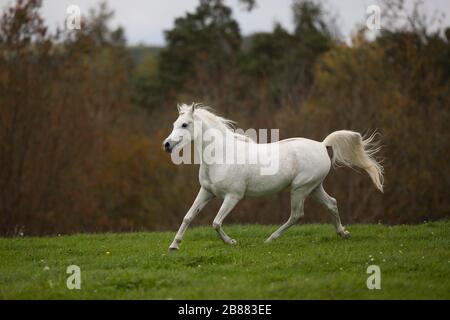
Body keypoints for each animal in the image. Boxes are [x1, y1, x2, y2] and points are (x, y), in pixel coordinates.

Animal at [163, 103, 384, 250]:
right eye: (174, 123)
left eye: (185, 125)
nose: (166, 145)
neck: (222, 155)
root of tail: (322, 145)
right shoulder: (207, 192)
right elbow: (188, 216)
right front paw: (174, 245)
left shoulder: (233, 196)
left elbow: (216, 223)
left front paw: (232, 242)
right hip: (314, 188)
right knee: (332, 203)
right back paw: (343, 233)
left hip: (300, 189)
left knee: (297, 215)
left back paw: (270, 239)